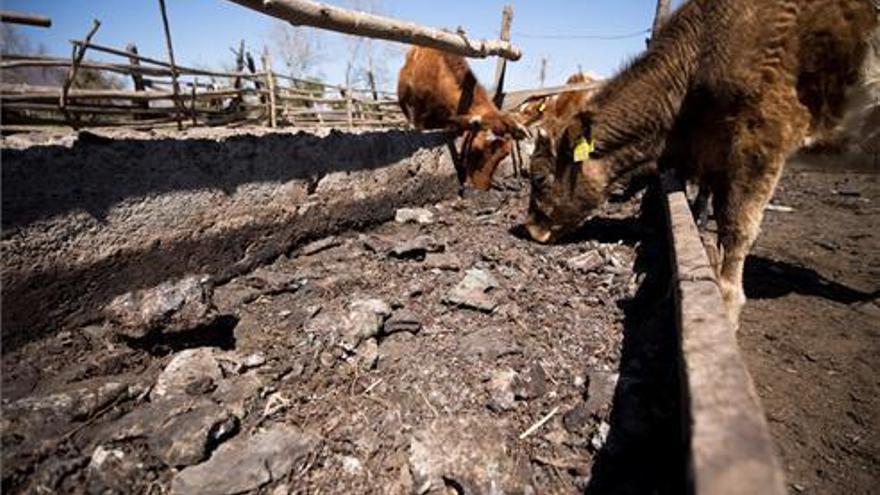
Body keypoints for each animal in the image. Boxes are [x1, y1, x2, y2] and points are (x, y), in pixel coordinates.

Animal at [524, 0, 876, 326]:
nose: (529, 228)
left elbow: (737, 227)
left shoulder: (764, 133)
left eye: (538, 177)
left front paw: (727, 301)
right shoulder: (717, 158)